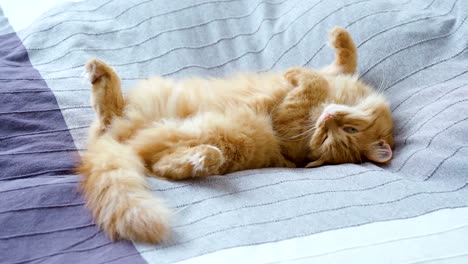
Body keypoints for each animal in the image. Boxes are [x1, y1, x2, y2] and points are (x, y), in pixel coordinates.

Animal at [78, 26, 394, 243]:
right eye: (348, 129)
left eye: (334, 137)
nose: (327, 120)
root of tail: (118, 142)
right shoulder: (333, 76)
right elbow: (343, 62)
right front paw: (337, 36)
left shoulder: (286, 124)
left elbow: (310, 82)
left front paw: (294, 73)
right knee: (114, 118)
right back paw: (100, 72)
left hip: (211, 142)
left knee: (150, 152)